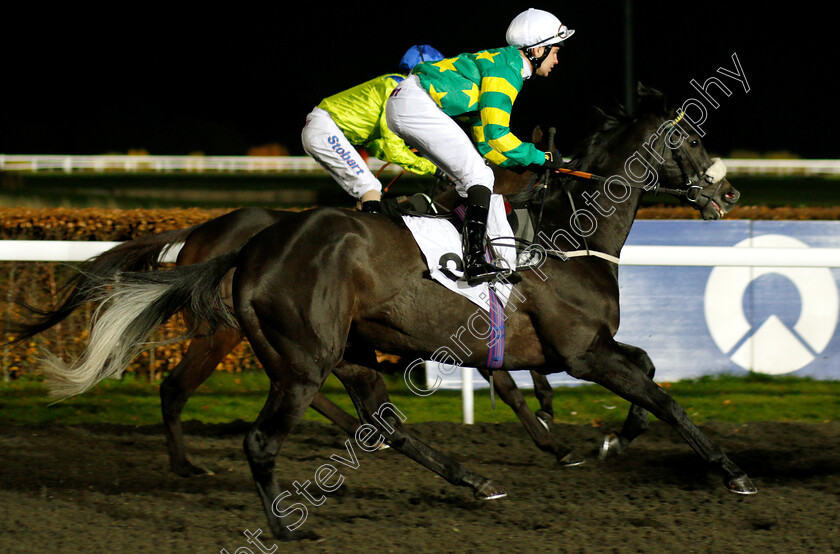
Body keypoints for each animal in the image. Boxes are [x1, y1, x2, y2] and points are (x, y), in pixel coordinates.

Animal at [31, 86, 748, 540]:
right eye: (689, 135)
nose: (729, 192)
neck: (563, 236)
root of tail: (251, 245)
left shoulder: (578, 349)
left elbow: (645, 373)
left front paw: (608, 439)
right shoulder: (580, 351)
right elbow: (664, 397)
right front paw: (732, 473)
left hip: (345, 352)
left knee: (382, 424)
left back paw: (473, 480)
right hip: (299, 356)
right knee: (257, 433)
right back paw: (282, 524)